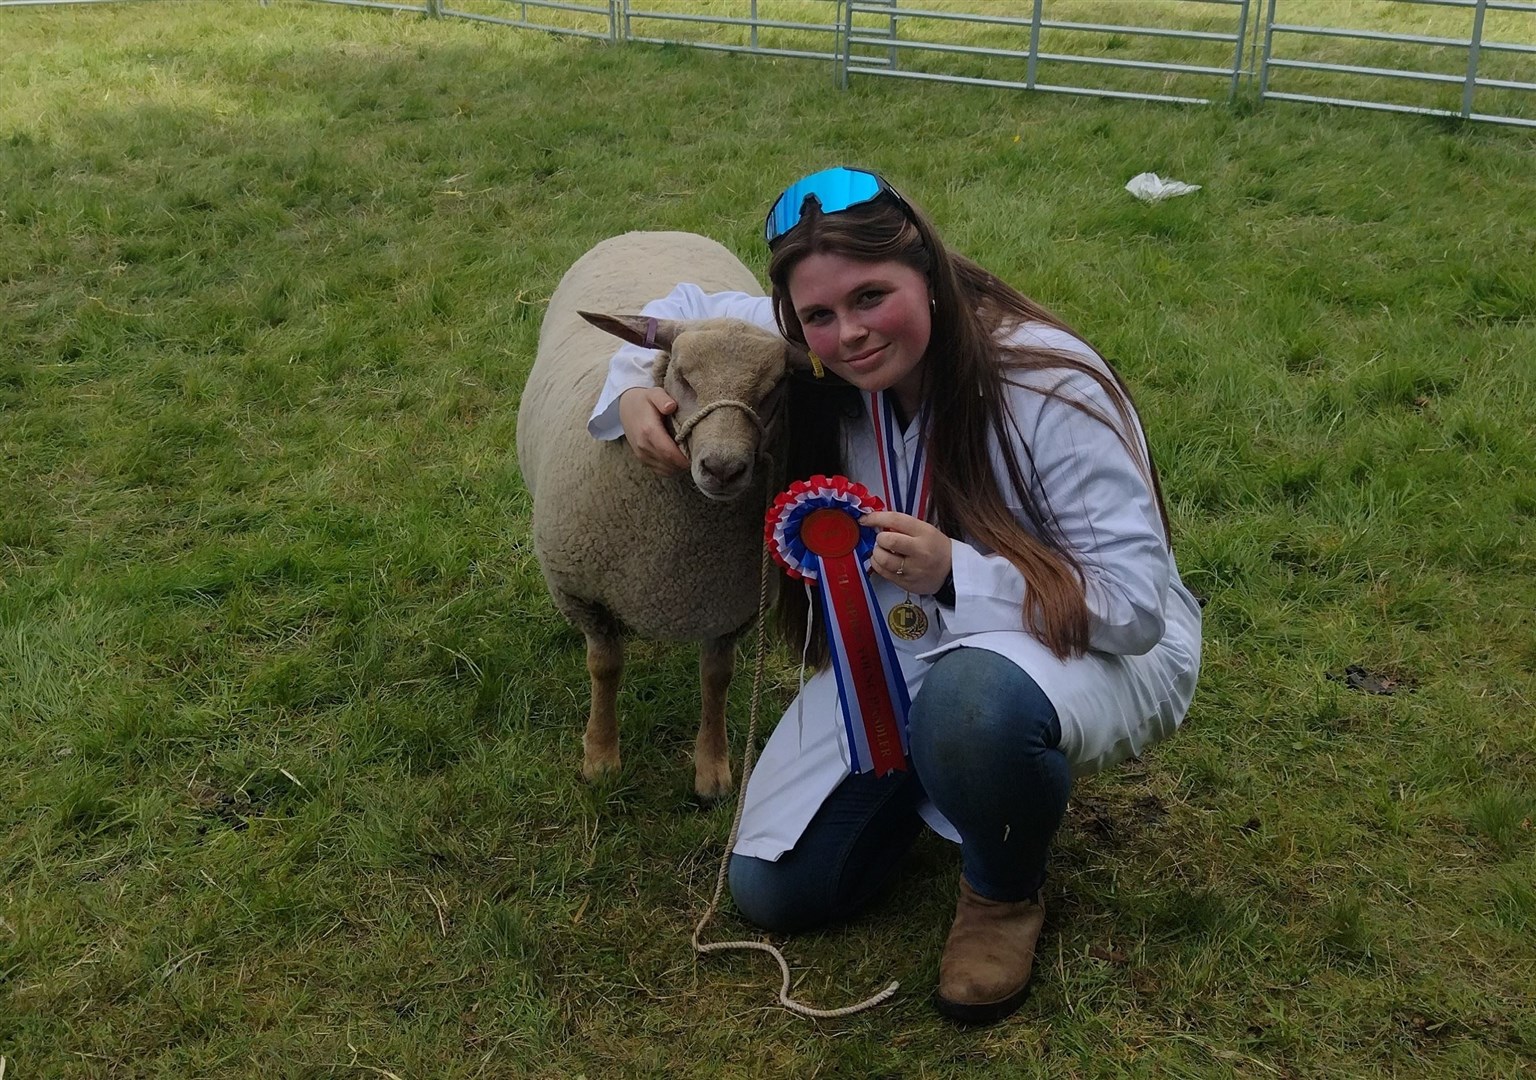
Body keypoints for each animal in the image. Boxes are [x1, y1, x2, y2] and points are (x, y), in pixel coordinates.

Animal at [516, 230, 804, 805]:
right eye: (682, 377)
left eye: (775, 388)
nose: (722, 467)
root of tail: (652, 231)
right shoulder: (584, 594)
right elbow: (605, 668)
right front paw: (601, 757)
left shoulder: (731, 607)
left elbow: (717, 679)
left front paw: (712, 770)